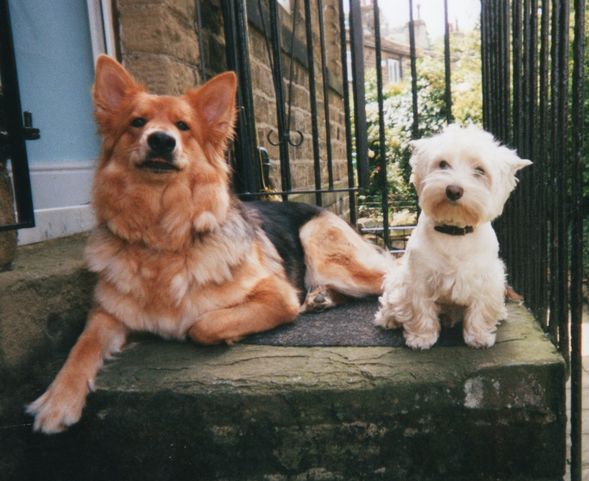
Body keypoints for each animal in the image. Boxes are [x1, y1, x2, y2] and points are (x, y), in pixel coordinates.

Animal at [27, 55, 396, 432]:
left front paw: (227, 332)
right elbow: (81, 347)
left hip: (324, 250)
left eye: (183, 126)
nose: (161, 141)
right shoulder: (106, 314)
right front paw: (58, 399)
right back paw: (321, 298)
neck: (163, 235)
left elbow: (201, 325)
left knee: (389, 275)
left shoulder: (278, 296)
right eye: (137, 122)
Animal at [374, 124, 532, 348]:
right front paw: (421, 338)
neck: (454, 232)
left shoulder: (485, 279)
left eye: (480, 170)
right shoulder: (418, 278)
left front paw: (479, 337)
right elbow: (420, 309)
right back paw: (389, 319)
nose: (454, 190)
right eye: (442, 164)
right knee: (392, 302)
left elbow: (480, 309)